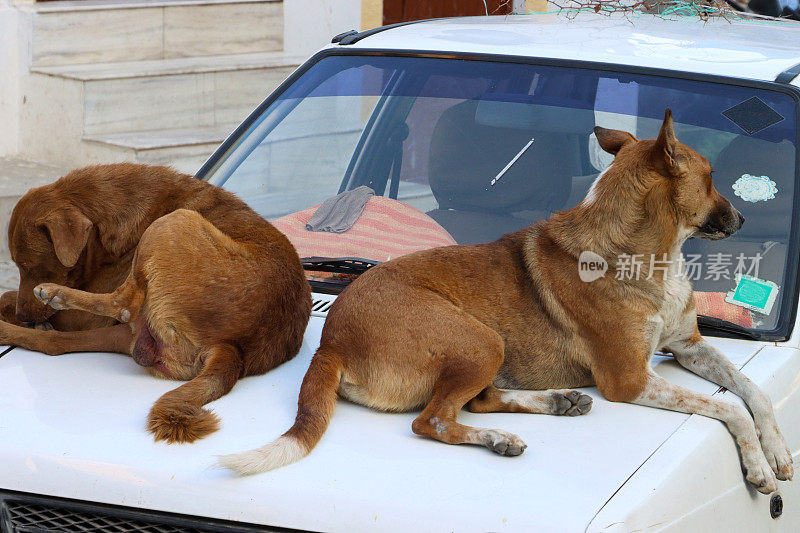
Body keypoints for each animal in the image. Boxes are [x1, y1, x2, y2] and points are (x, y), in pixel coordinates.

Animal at [0, 164, 310, 442]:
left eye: (31, 267)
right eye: (18, 266)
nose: (24, 316)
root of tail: (234, 348)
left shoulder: (83, 317)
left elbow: (10, 296)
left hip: (172, 222)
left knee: (123, 304)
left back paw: (54, 295)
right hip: (130, 335)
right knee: (56, 344)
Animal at [219, 110, 792, 492]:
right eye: (712, 178)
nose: (744, 218)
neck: (647, 257)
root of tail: (330, 342)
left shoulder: (690, 345)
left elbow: (753, 394)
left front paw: (779, 452)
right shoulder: (630, 380)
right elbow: (728, 408)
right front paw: (757, 466)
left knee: (474, 401)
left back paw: (552, 404)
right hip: (479, 338)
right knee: (433, 420)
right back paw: (498, 436)